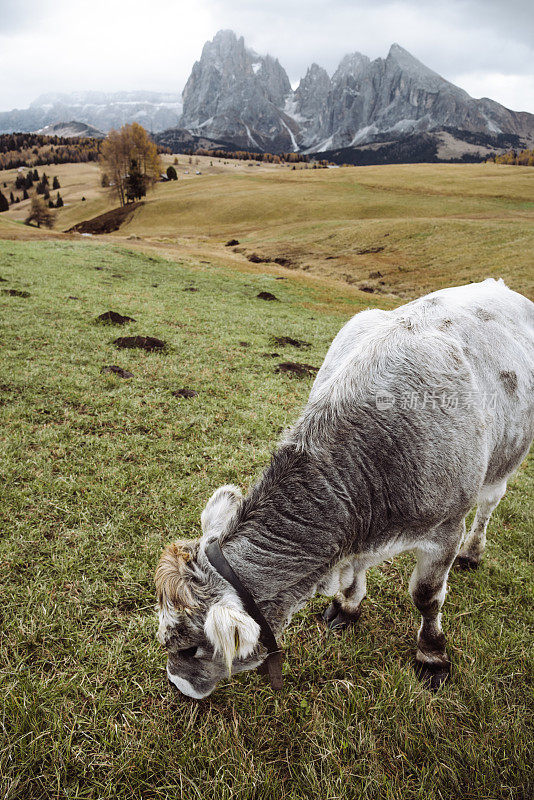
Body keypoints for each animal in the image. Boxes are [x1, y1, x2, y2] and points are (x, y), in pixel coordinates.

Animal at [156, 278, 534, 696]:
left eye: (190, 649)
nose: (177, 683)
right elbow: (355, 574)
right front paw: (348, 606)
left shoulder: (446, 529)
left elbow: (426, 596)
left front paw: (432, 655)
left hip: (504, 463)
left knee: (489, 505)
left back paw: (473, 553)